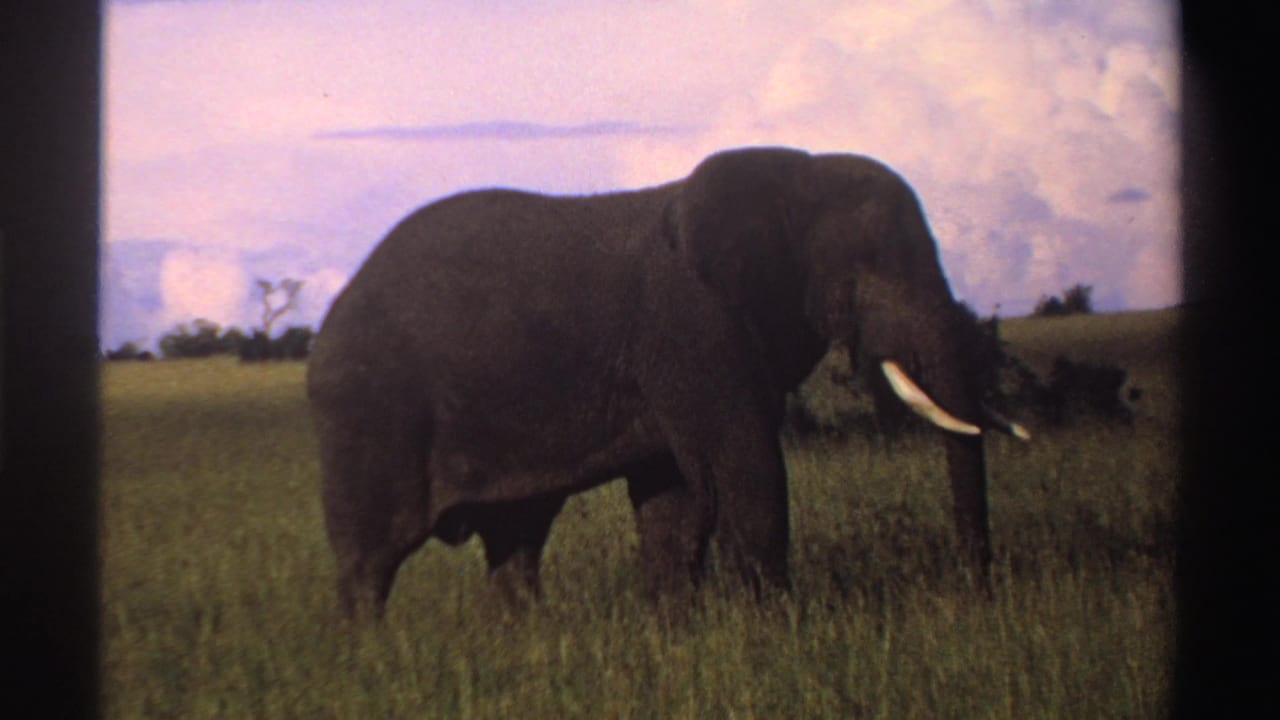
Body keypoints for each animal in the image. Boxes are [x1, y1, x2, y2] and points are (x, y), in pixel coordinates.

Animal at [307, 146, 1029, 622]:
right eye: (870, 269)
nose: (980, 598)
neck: (794, 173)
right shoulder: (696, 329)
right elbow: (747, 467)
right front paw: (778, 632)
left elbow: (674, 498)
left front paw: (676, 633)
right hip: (367, 416)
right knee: (370, 560)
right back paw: (370, 662)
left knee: (517, 539)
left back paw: (525, 641)